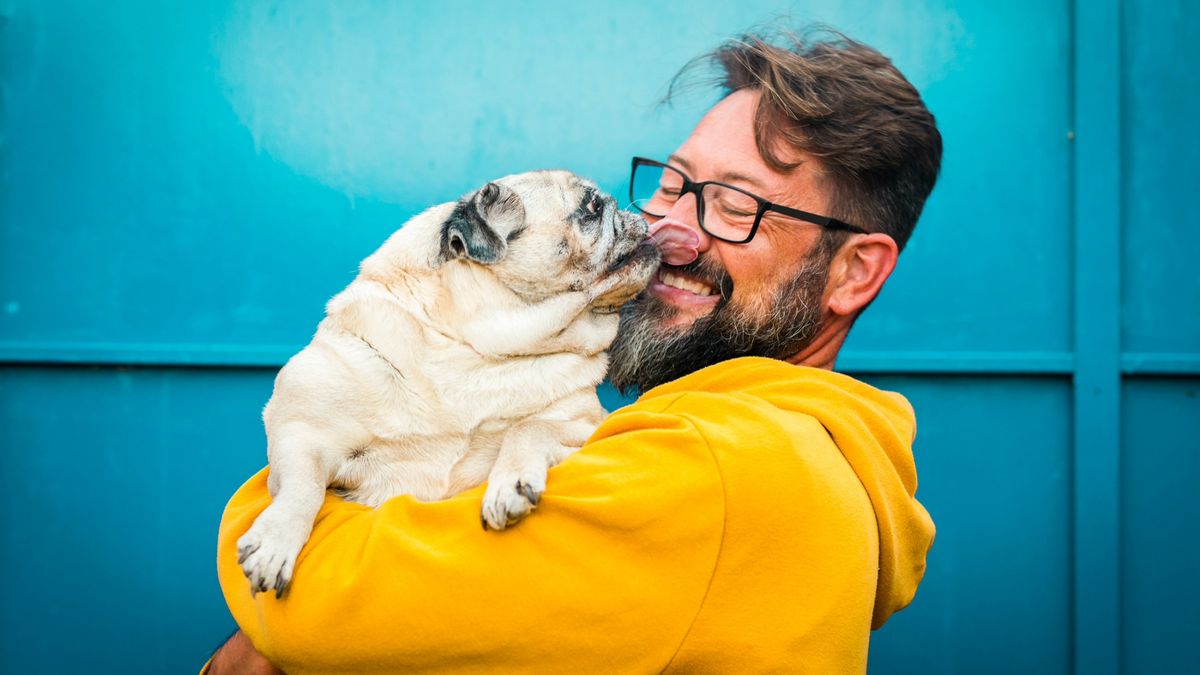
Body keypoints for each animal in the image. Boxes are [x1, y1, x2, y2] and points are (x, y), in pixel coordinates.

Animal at [234, 168, 667, 593]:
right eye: (592, 207)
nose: (631, 210)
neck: (477, 347)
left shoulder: (586, 424)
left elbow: (529, 427)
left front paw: (509, 483)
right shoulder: (301, 428)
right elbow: (303, 485)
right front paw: (275, 541)